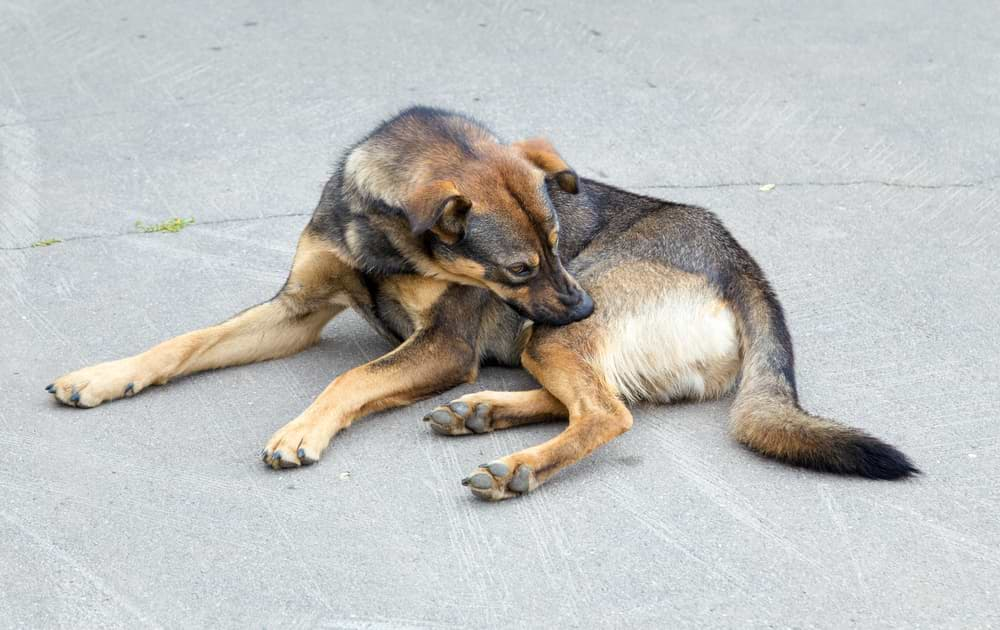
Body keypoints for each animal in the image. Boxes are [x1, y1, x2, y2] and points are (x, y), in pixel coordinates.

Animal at [50, 110, 916, 504]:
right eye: (521, 265)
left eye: (562, 241)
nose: (581, 301)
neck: (385, 242)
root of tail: (745, 267)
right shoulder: (295, 308)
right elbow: (185, 342)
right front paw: (105, 375)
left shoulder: (443, 347)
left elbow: (349, 380)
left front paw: (302, 431)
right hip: (548, 340)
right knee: (597, 398)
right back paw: (484, 415)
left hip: (549, 340)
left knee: (608, 413)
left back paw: (516, 465)